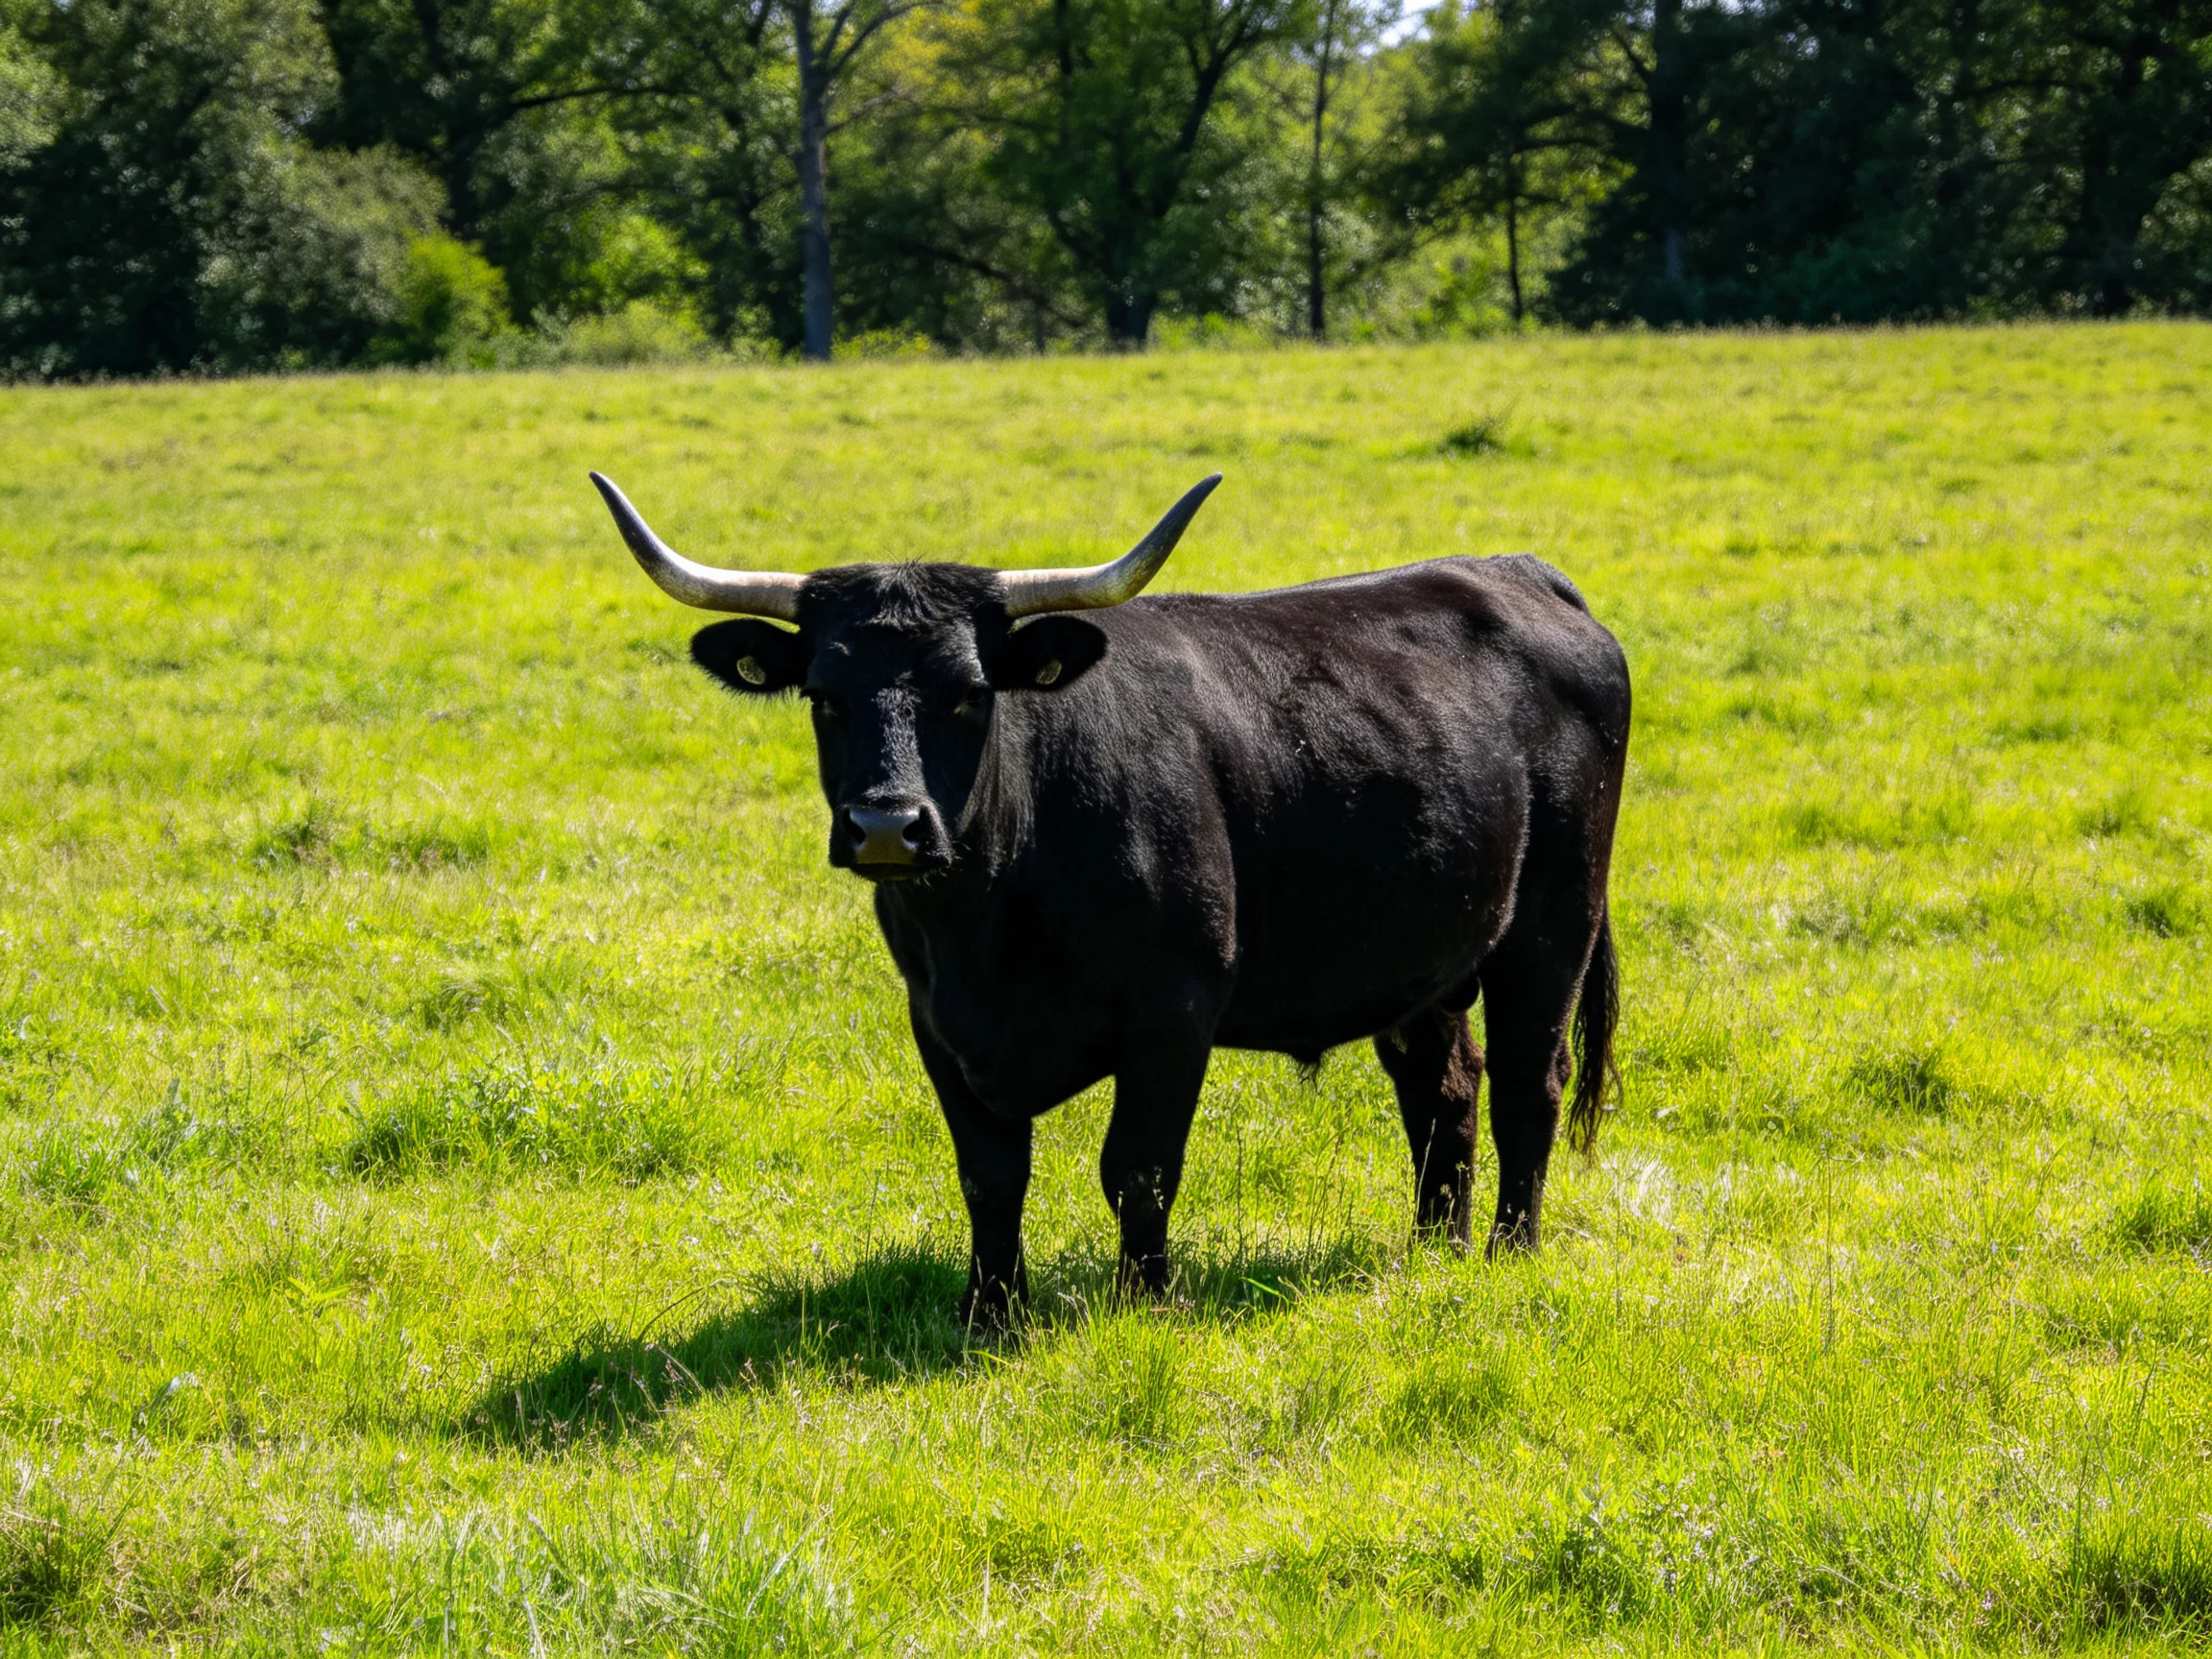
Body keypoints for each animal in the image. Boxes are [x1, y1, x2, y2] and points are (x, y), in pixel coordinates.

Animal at [591, 470, 1629, 1326]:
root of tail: (1514, 571)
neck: (987, 926)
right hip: (1425, 959)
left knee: (1530, 1081)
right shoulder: (936, 1022)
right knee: (1443, 1088)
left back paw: (1508, 1252)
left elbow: (1137, 1167)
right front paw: (990, 1315)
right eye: (822, 694)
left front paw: (1143, 1303)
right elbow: (990, 1174)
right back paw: (1432, 1250)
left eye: (971, 692)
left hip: (1551, 927)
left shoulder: (1174, 1009)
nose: (887, 825)